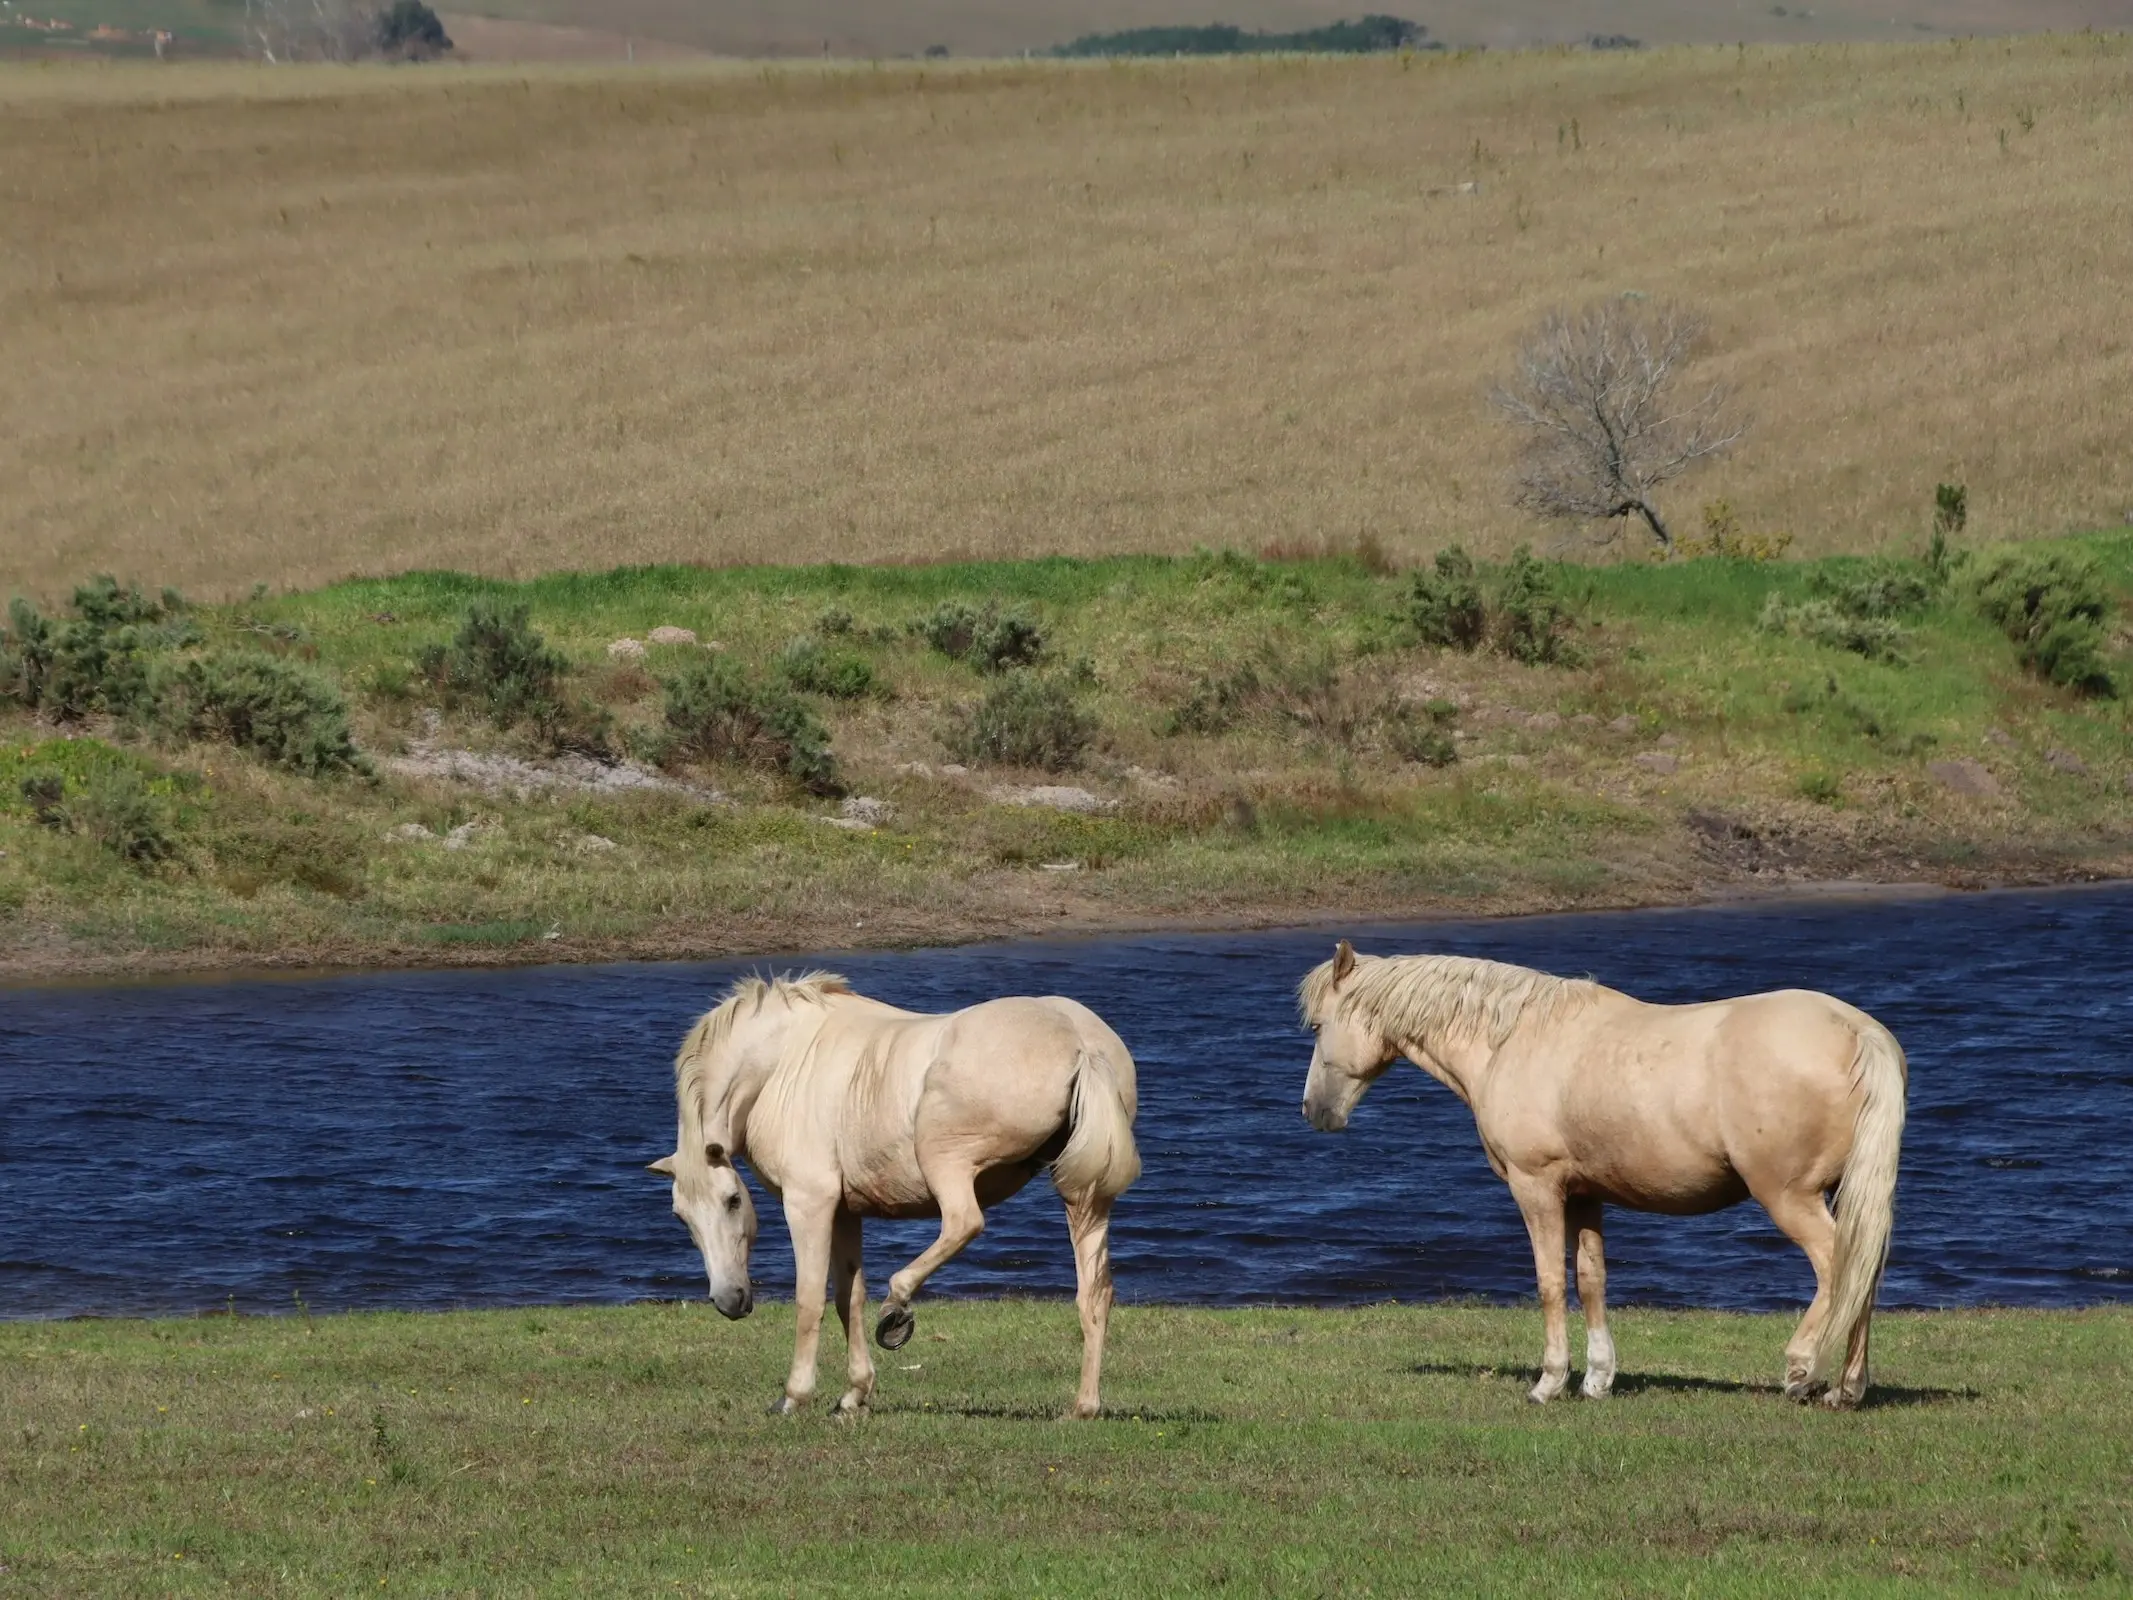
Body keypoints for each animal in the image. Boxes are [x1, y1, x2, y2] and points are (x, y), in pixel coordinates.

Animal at [648, 972, 1143, 1425]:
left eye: (733, 1200)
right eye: (681, 1217)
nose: (729, 1300)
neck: (783, 1062)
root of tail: (1080, 1043)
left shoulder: (809, 1202)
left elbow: (810, 1300)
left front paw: (794, 1396)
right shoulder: (845, 1211)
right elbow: (848, 1298)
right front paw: (854, 1395)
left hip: (944, 1158)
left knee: (964, 1222)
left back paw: (897, 1307)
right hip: (1084, 1198)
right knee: (1094, 1294)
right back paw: (1083, 1407)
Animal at [1296, 947, 1919, 1408]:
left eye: (1320, 1026)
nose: (1314, 1111)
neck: (1514, 1040)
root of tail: (1857, 1031)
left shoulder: (1536, 1188)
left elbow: (1551, 1280)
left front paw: (1549, 1382)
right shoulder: (1585, 1194)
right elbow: (1591, 1278)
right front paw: (1598, 1379)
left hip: (1790, 1197)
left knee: (1838, 1267)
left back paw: (1802, 1371)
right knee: (1862, 1273)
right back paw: (1846, 1389)